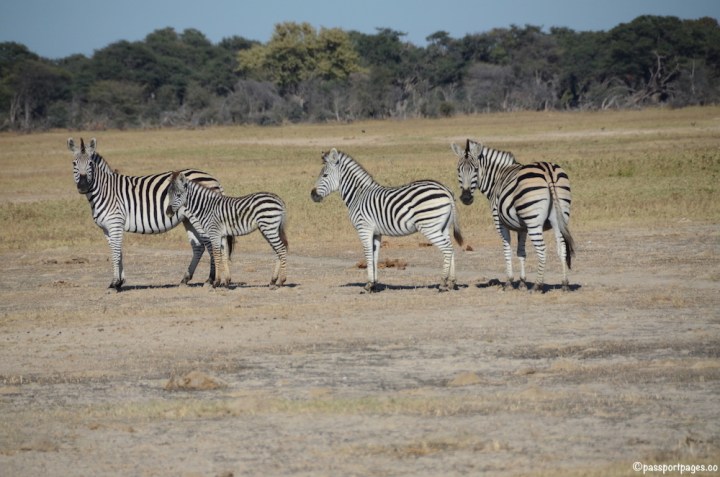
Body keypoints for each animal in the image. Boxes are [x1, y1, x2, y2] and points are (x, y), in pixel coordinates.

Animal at [68, 137, 225, 290]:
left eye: (90, 164)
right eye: (74, 163)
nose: (83, 186)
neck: (105, 191)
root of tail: (212, 177)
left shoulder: (115, 223)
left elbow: (115, 252)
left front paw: (114, 283)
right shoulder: (107, 228)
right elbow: (117, 251)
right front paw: (119, 282)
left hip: (201, 217)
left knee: (211, 243)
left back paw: (210, 280)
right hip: (188, 219)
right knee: (199, 246)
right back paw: (185, 279)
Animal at [311, 148, 463, 292]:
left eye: (324, 175)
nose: (312, 195)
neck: (358, 195)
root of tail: (446, 190)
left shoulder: (364, 229)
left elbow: (368, 254)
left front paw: (368, 285)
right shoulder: (376, 233)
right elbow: (375, 256)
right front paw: (374, 284)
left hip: (429, 226)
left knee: (447, 249)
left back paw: (442, 283)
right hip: (443, 227)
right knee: (451, 248)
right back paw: (452, 282)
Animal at [451, 139, 575, 292]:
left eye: (475, 169)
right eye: (458, 170)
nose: (466, 198)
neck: (497, 177)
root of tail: (547, 171)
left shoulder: (499, 221)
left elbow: (507, 250)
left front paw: (509, 281)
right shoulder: (522, 227)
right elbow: (521, 252)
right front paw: (522, 282)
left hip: (534, 222)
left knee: (542, 249)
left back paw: (537, 285)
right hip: (559, 218)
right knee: (562, 247)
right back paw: (564, 284)